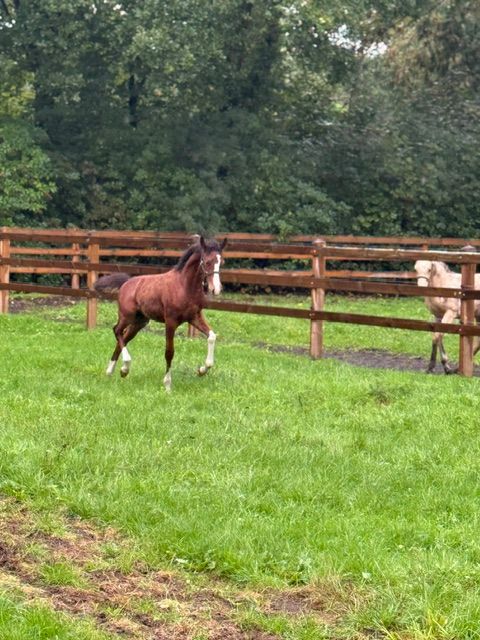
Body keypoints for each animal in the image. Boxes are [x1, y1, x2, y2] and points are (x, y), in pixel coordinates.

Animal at [94, 236, 227, 391]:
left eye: (221, 262)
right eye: (207, 262)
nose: (215, 289)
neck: (184, 286)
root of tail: (126, 283)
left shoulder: (195, 317)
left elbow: (212, 336)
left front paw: (201, 370)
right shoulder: (171, 322)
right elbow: (169, 352)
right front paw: (167, 384)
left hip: (139, 322)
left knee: (124, 337)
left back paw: (114, 371)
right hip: (127, 316)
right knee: (117, 330)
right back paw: (125, 366)